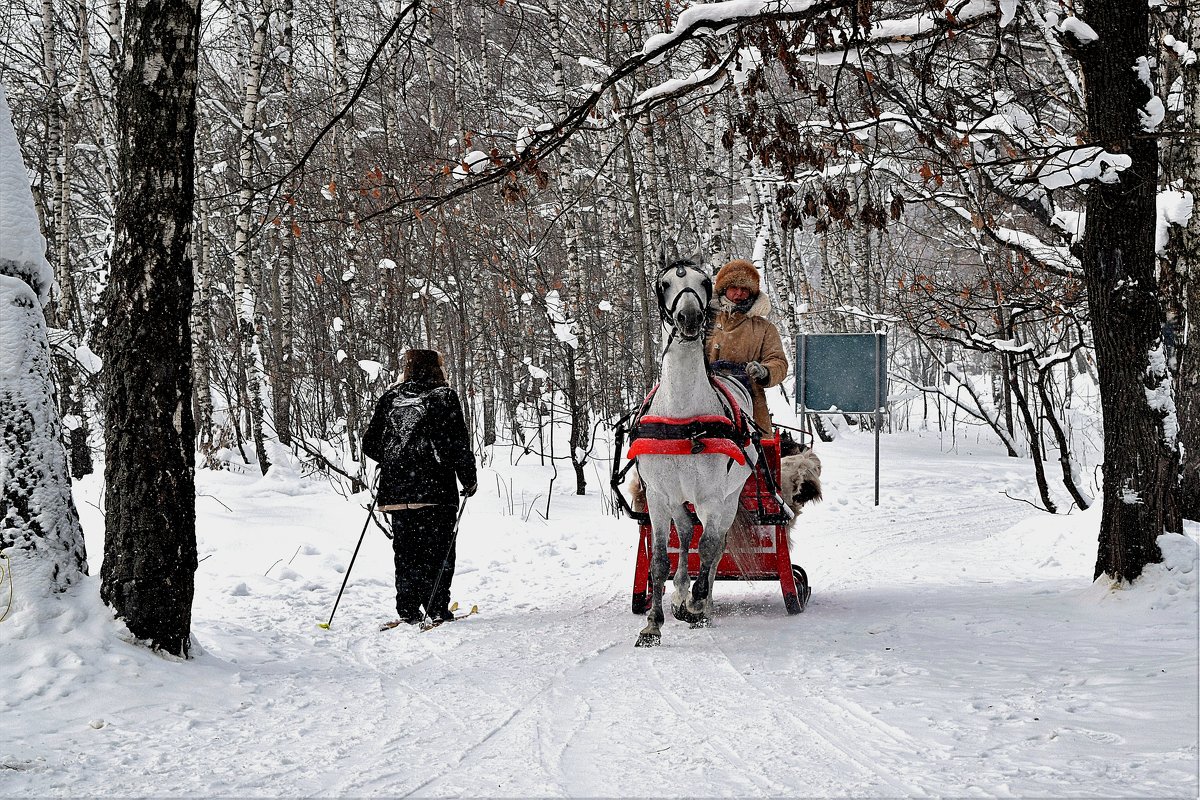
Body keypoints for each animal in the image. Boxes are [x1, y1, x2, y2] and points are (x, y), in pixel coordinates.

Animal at [633, 257, 753, 652]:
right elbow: (659, 560)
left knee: (715, 547)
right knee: (684, 535)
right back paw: (681, 594)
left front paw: (698, 605)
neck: (682, 417)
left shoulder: (712, 498)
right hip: (676, 499)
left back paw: (702, 605)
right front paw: (653, 624)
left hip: (729, 499)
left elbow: (710, 547)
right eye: (664, 283)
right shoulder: (657, 496)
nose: (689, 317)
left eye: (704, 282)